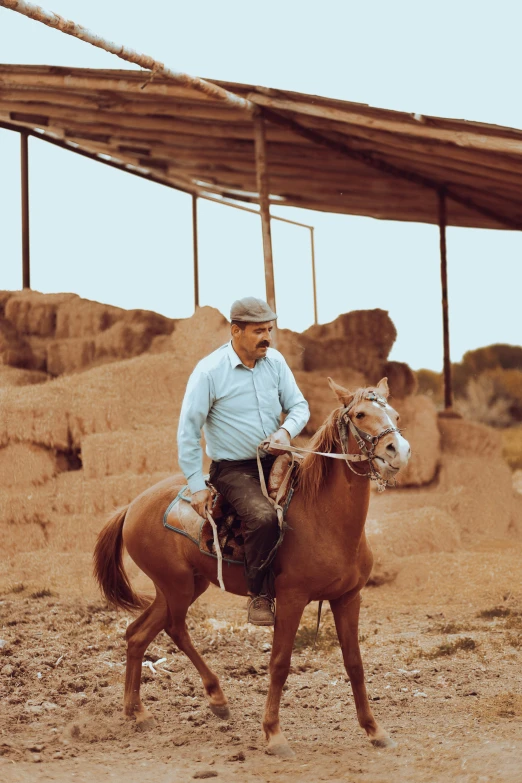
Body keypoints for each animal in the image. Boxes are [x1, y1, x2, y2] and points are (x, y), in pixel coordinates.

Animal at [93, 376, 410, 756]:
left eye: (395, 414)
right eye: (361, 414)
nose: (398, 450)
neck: (324, 517)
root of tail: (132, 506)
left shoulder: (348, 598)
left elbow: (354, 663)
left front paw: (374, 730)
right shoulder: (291, 599)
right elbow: (280, 663)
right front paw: (273, 733)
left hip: (186, 586)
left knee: (140, 634)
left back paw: (142, 710)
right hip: (176, 587)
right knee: (168, 629)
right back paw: (202, 700)